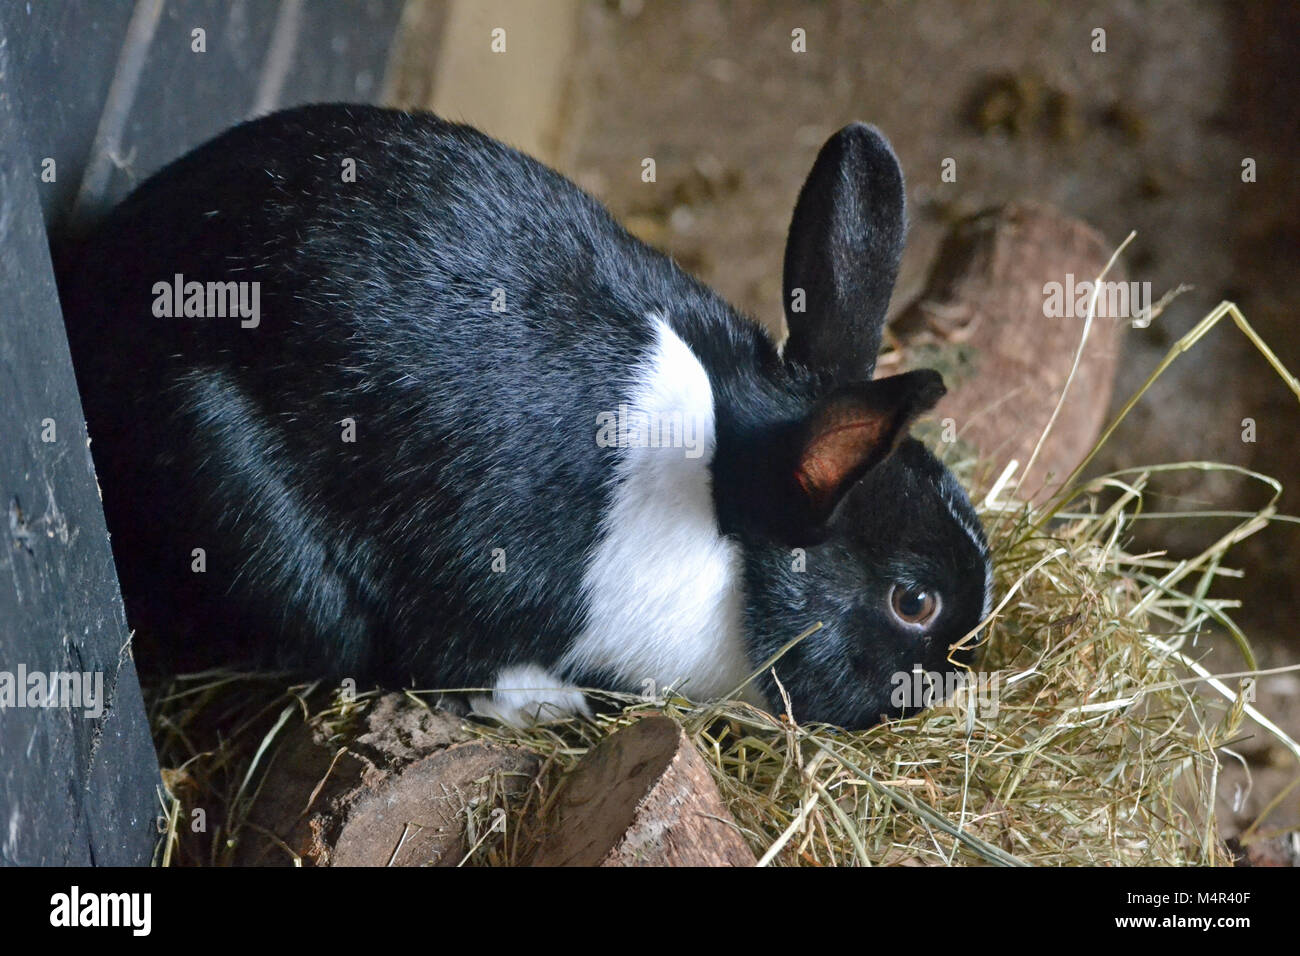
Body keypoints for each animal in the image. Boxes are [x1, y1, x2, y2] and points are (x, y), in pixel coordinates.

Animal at [55, 104, 993, 728]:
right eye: (914, 601)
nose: (955, 677)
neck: (726, 511)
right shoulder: (475, 588)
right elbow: (464, 670)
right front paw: (557, 705)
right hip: (245, 507)